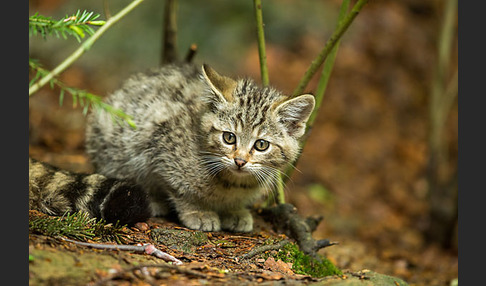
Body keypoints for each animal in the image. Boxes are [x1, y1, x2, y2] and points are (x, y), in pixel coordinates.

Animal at [85, 63, 316, 232]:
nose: (240, 161)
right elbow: (180, 188)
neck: (233, 183)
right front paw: (198, 212)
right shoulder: (161, 142)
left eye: (261, 145)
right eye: (229, 137)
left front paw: (235, 211)